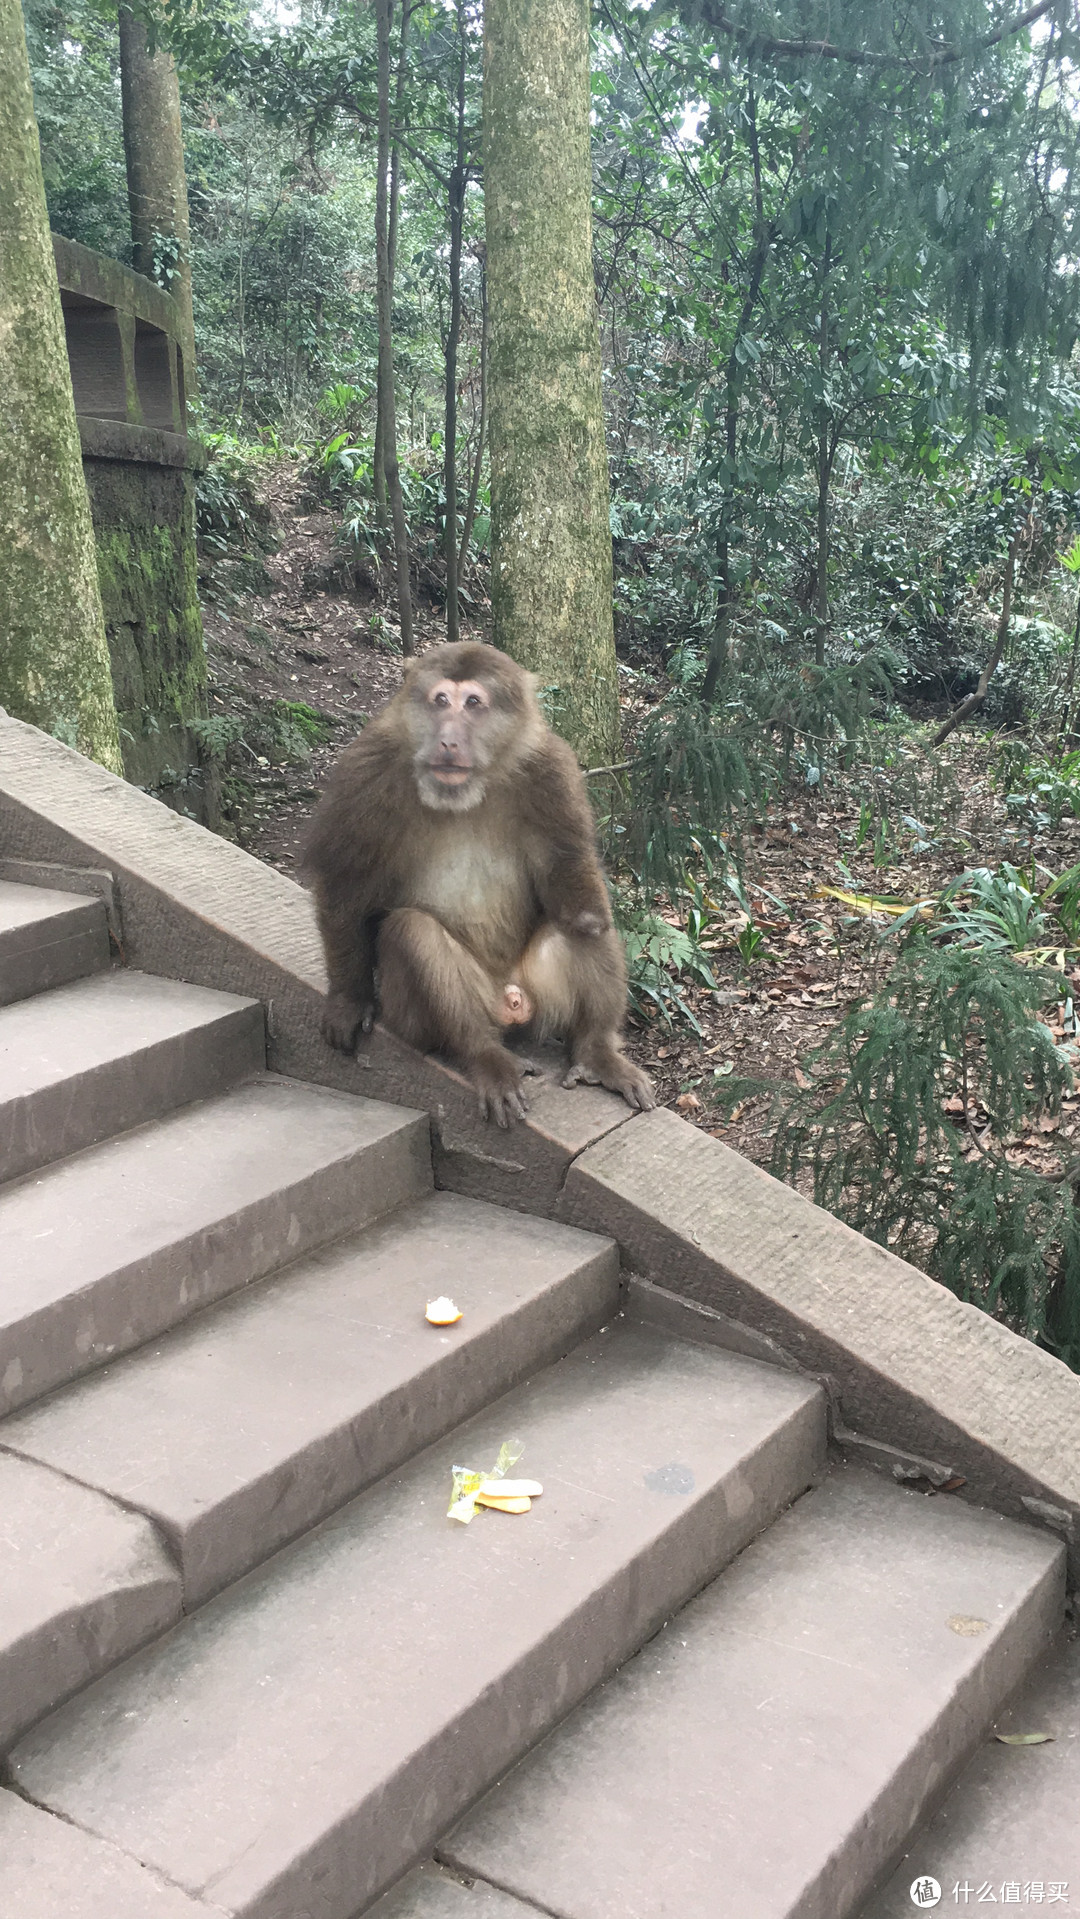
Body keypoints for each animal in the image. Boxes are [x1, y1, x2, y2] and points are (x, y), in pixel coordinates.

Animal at [305, 640, 659, 1120]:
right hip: (430, 1013)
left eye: (473, 703)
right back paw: (484, 1055)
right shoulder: (366, 771)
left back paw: (595, 1053)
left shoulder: (551, 769)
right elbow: (346, 883)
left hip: (538, 995)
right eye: (441, 700)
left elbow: (569, 877)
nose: (448, 739)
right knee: (412, 932)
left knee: (587, 927)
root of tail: (508, 1000)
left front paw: (580, 902)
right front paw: (347, 1000)